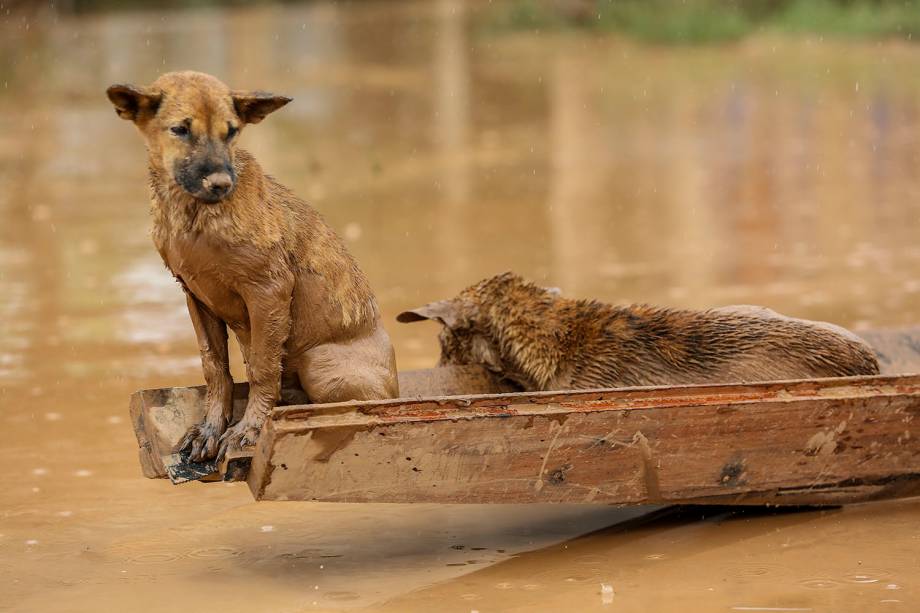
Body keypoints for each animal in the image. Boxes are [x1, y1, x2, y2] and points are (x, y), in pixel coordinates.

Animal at [107, 70, 398, 460]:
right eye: (180, 129)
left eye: (231, 131)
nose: (220, 183)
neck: (195, 216)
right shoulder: (194, 293)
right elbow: (215, 368)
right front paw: (210, 429)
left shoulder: (269, 290)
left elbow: (262, 368)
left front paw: (250, 430)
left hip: (319, 363)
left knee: (354, 411)